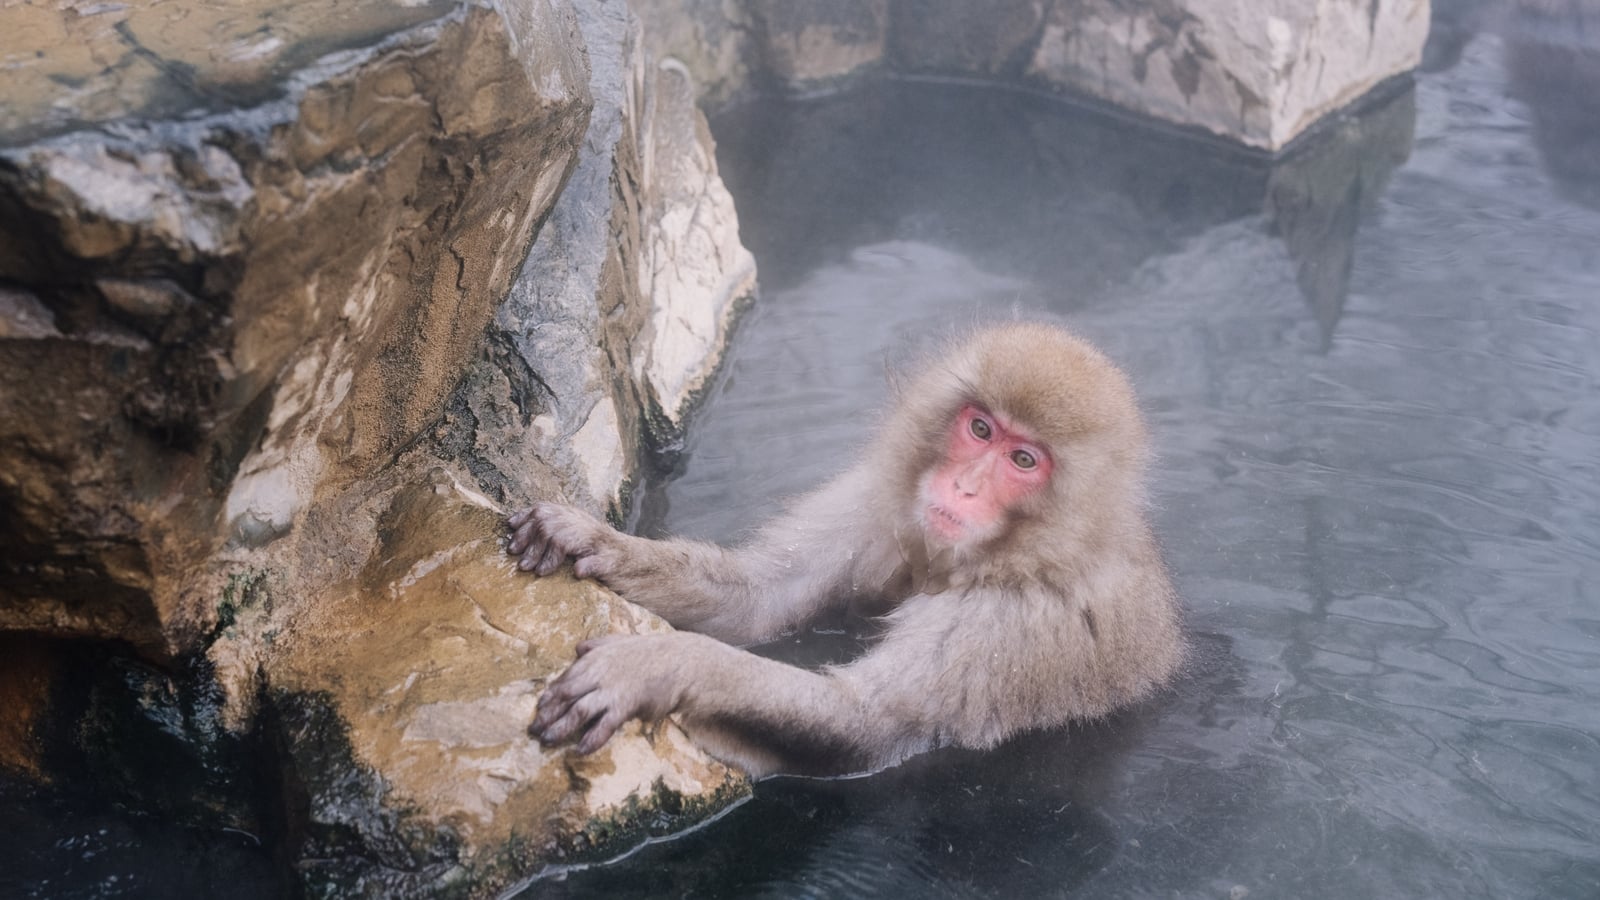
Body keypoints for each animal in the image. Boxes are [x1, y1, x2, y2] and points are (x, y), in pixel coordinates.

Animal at [507, 322, 1184, 778]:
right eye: (980, 428)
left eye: (1023, 460)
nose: (963, 486)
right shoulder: (877, 505)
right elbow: (758, 598)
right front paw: (592, 538)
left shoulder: (1015, 622)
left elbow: (867, 723)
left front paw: (662, 665)